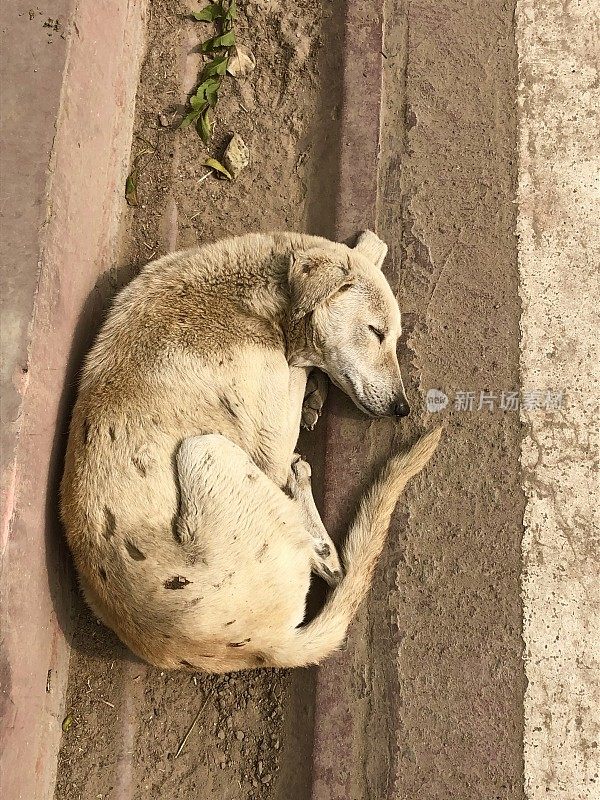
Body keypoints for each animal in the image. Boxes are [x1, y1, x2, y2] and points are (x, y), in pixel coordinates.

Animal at [62, 230, 440, 668]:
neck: (253, 295)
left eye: (394, 338)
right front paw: (312, 388)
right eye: (376, 331)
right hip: (205, 451)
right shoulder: (269, 438)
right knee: (323, 553)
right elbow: (299, 371)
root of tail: (268, 644)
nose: (402, 408)